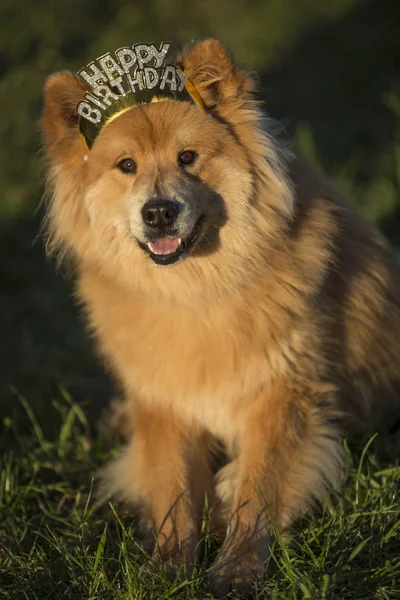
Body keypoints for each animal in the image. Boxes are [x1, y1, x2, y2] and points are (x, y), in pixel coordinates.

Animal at [39, 39, 400, 596]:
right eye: (126, 165)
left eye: (187, 157)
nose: (159, 212)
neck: (195, 292)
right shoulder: (163, 403)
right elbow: (171, 489)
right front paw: (168, 567)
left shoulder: (279, 396)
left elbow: (256, 488)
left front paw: (236, 570)